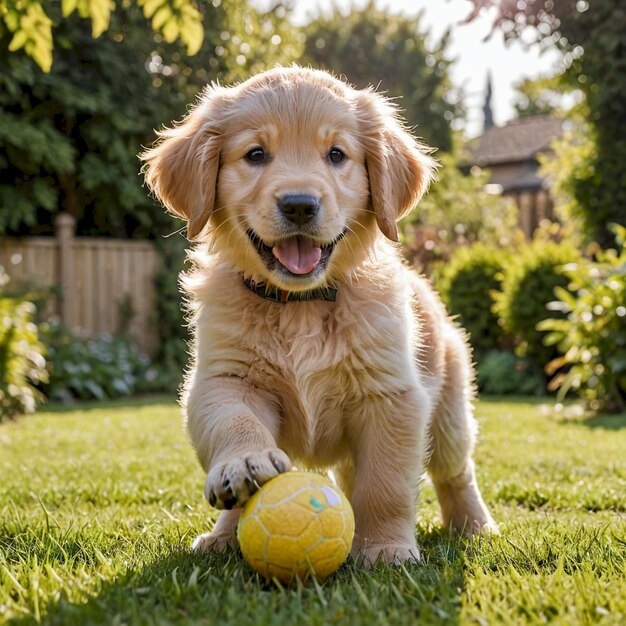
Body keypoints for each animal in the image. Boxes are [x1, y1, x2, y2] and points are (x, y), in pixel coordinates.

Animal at [143, 66, 498, 564]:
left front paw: (385, 547)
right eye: (255, 154)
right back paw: (223, 535)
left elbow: (385, 484)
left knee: (455, 472)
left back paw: (474, 526)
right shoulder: (225, 377)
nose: (299, 205)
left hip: (449, 414)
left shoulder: (393, 396)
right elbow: (234, 421)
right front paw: (244, 464)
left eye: (336, 154)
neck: (302, 305)